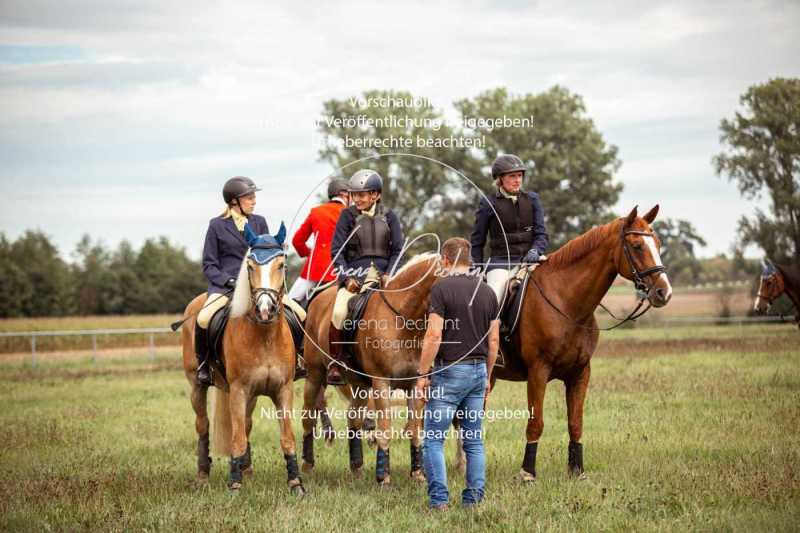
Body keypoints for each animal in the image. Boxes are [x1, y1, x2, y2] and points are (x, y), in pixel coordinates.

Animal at [181, 222, 306, 492]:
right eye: (249, 266)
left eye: (282, 265)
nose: (265, 309)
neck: (265, 336)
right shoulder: (238, 390)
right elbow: (236, 438)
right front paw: (234, 486)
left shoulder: (284, 389)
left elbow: (287, 437)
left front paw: (295, 483)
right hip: (197, 386)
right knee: (203, 425)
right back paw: (203, 475)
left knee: (246, 425)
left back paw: (245, 469)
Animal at [300, 252, 440, 482]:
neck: (403, 321)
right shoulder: (381, 383)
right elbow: (385, 429)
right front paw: (383, 477)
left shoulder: (415, 384)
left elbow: (415, 430)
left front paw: (418, 474)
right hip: (314, 375)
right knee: (308, 417)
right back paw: (307, 464)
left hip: (360, 385)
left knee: (353, 418)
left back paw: (356, 466)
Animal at [490, 206, 672, 480]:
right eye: (637, 245)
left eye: (658, 244)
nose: (664, 292)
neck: (566, 303)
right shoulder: (538, 372)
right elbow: (536, 423)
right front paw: (527, 473)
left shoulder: (580, 372)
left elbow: (575, 423)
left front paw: (577, 471)